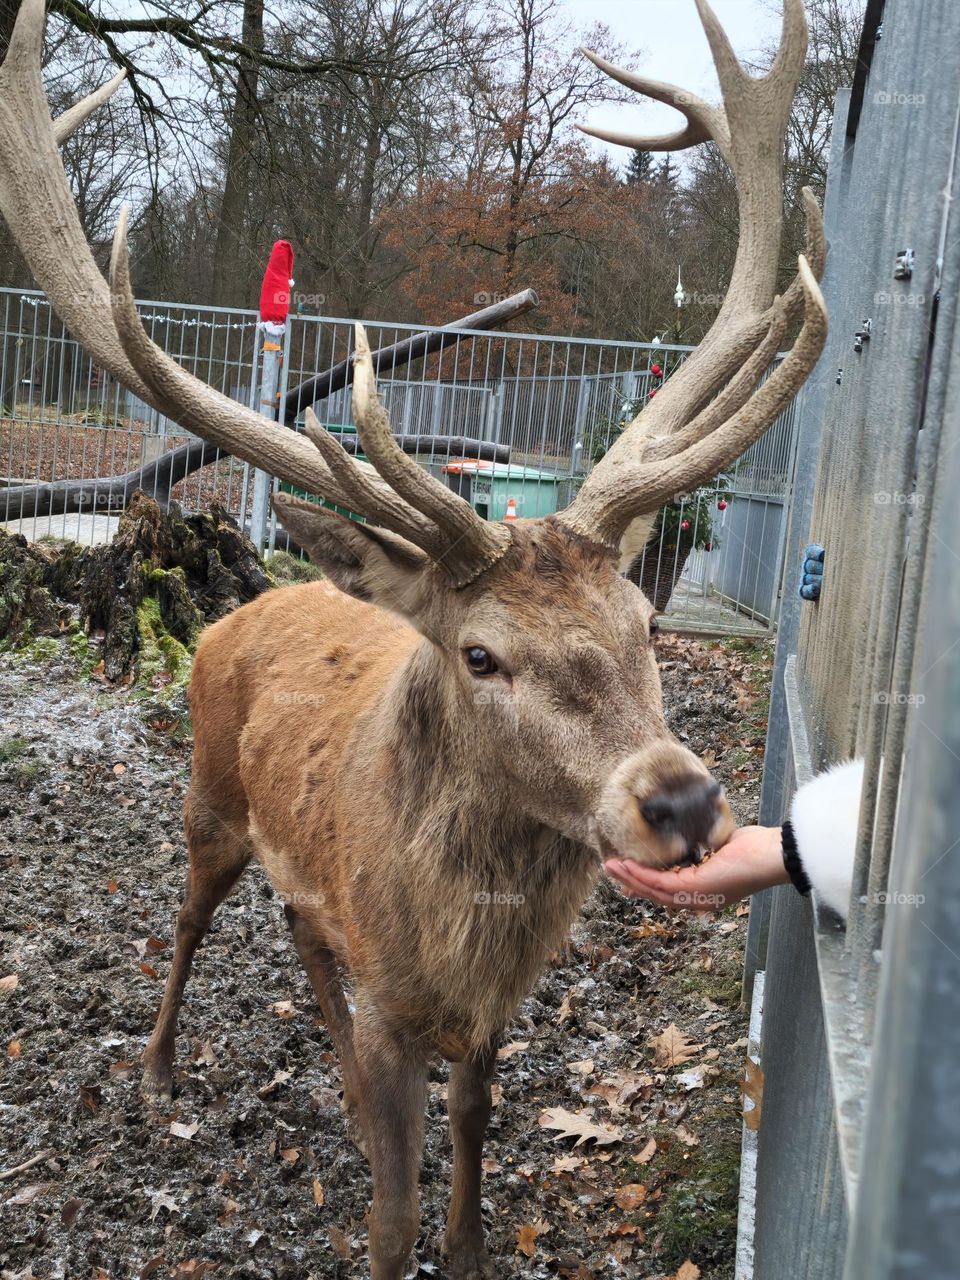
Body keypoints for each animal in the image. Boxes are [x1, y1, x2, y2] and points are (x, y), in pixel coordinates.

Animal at [0, 0, 826, 1275]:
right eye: (480, 652)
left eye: (644, 620)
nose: (683, 800)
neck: (463, 945)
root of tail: (254, 602)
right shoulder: (395, 996)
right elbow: (391, 1214)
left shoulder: (493, 1008)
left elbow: (474, 1130)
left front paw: (473, 1241)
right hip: (208, 793)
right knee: (190, 915)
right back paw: (157, 1070)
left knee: (299, 924)